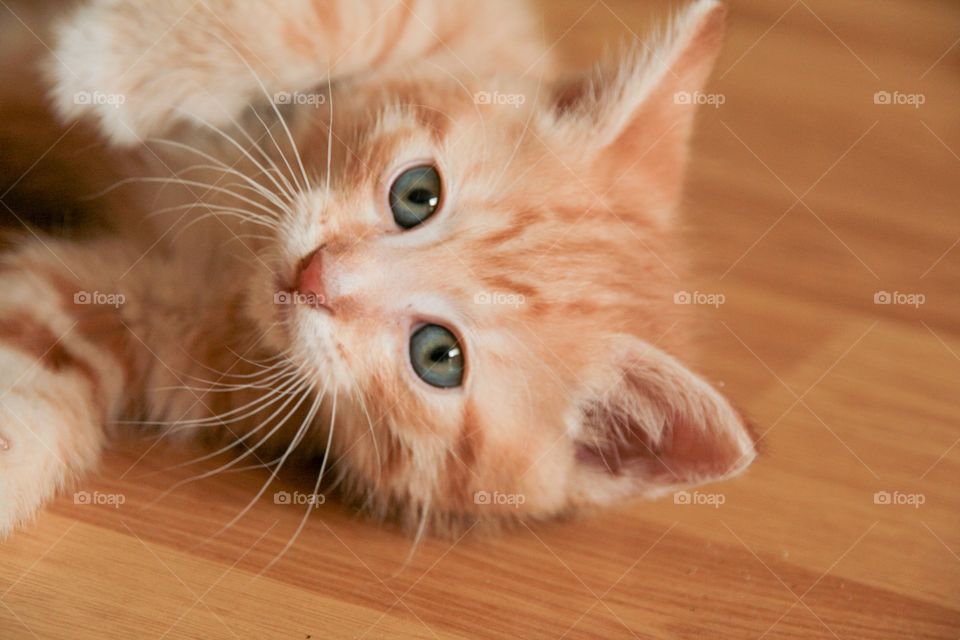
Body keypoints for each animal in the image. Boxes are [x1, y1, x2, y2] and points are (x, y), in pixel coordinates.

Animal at [0, 0, 756, 536]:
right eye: (417, 193)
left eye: (438, 356)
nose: (315, 276)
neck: (242, 244)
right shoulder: (477, 26)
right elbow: (373, 17)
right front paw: (115, 60)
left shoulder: (146, 306)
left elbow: (32, 365)